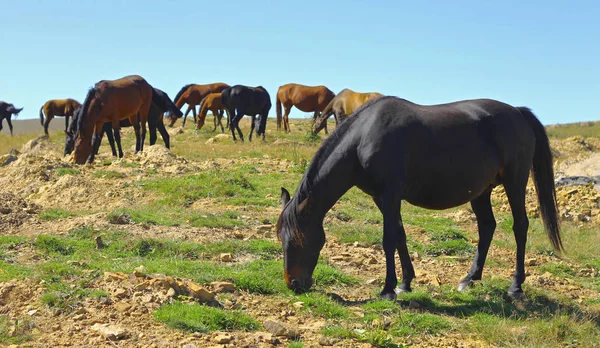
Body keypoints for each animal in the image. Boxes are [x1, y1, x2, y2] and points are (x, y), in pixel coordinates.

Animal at [276, 96, 564, 300]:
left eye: (301, 239)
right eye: (281, 238)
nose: (294, 284)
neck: (364, 138)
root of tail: (518, 112)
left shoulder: (391, 194)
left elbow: (388, 239)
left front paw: (388, 289)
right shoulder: (382, 198)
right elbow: (400, 235)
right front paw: (405, 283)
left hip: (515, 182)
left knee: (520, 227)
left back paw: (515, 286)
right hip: (481, 191)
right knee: (487, 228)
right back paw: (470, 279)